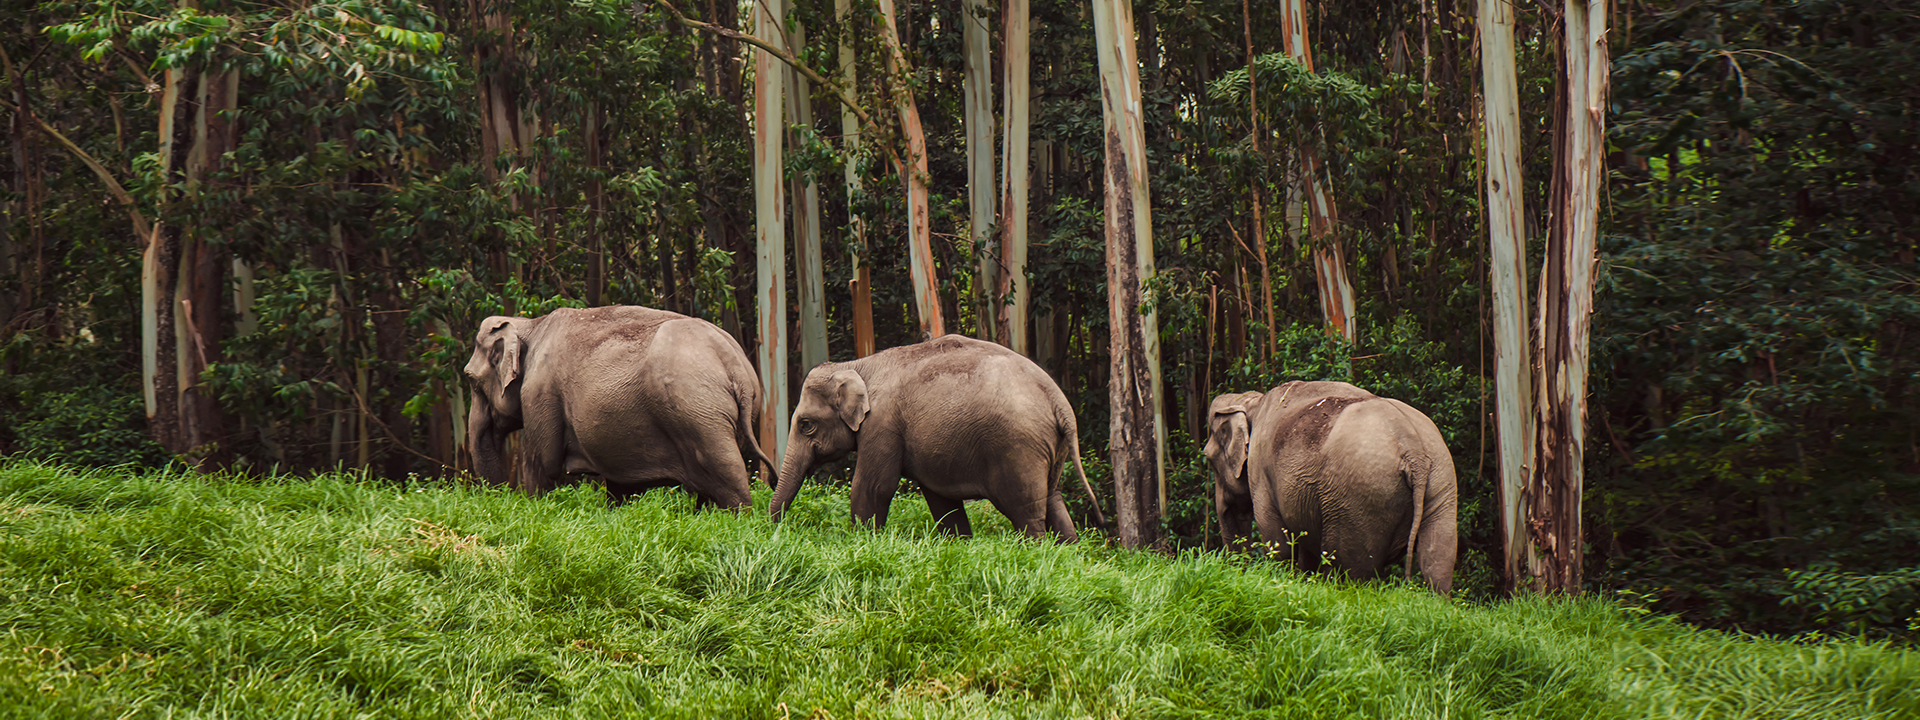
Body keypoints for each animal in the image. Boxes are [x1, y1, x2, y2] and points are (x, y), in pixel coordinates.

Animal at [460, 305, 768, 506]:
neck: (531, 324)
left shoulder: (539, 394)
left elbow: (542, 467)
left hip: (699, 414)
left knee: (728, 477)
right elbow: (621, 487)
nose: (497, 499)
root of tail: (735, 365)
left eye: (471, 379)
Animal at [760, 337, 1105, 541]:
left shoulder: (882, 424)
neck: (858, 365)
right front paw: (959, 543)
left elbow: (874, 487)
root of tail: (1058, 401)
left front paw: (861, 541)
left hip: (1018, 449)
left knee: (1026, 511)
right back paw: (1067, 552)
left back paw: (1034, 549)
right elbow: (941, 500)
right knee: (1053, 500)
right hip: (1051, 448)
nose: (774, 529)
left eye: (806, 425)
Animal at [1205, 380, 1459, 595]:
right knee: (1437, 560)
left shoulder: (1260, 472)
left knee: (1349, 569)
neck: (1252, 402)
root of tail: (1413, 449)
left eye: (1207, 458)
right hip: (1441, 482)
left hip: (1358, 499)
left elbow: (1277, 541)